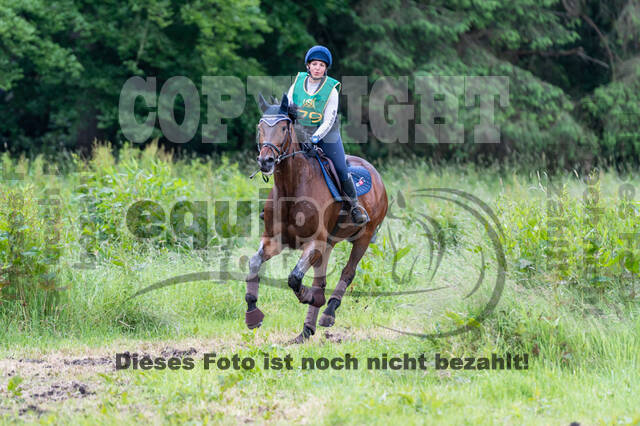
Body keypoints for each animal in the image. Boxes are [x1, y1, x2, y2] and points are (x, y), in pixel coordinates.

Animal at [245, 93, 388, 343]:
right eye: (260, 127)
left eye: (284, 127)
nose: (266, 161)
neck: (291, 187)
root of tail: (376, 174)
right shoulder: (276, 240)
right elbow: (254, 263)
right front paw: (252, 313)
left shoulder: (314, 242)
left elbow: (294, 278)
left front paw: (309, 297)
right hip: (329, 244)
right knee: (320, 281)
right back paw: (305, 331)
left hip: (363, 237)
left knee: (348, 272)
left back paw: (328, 312)